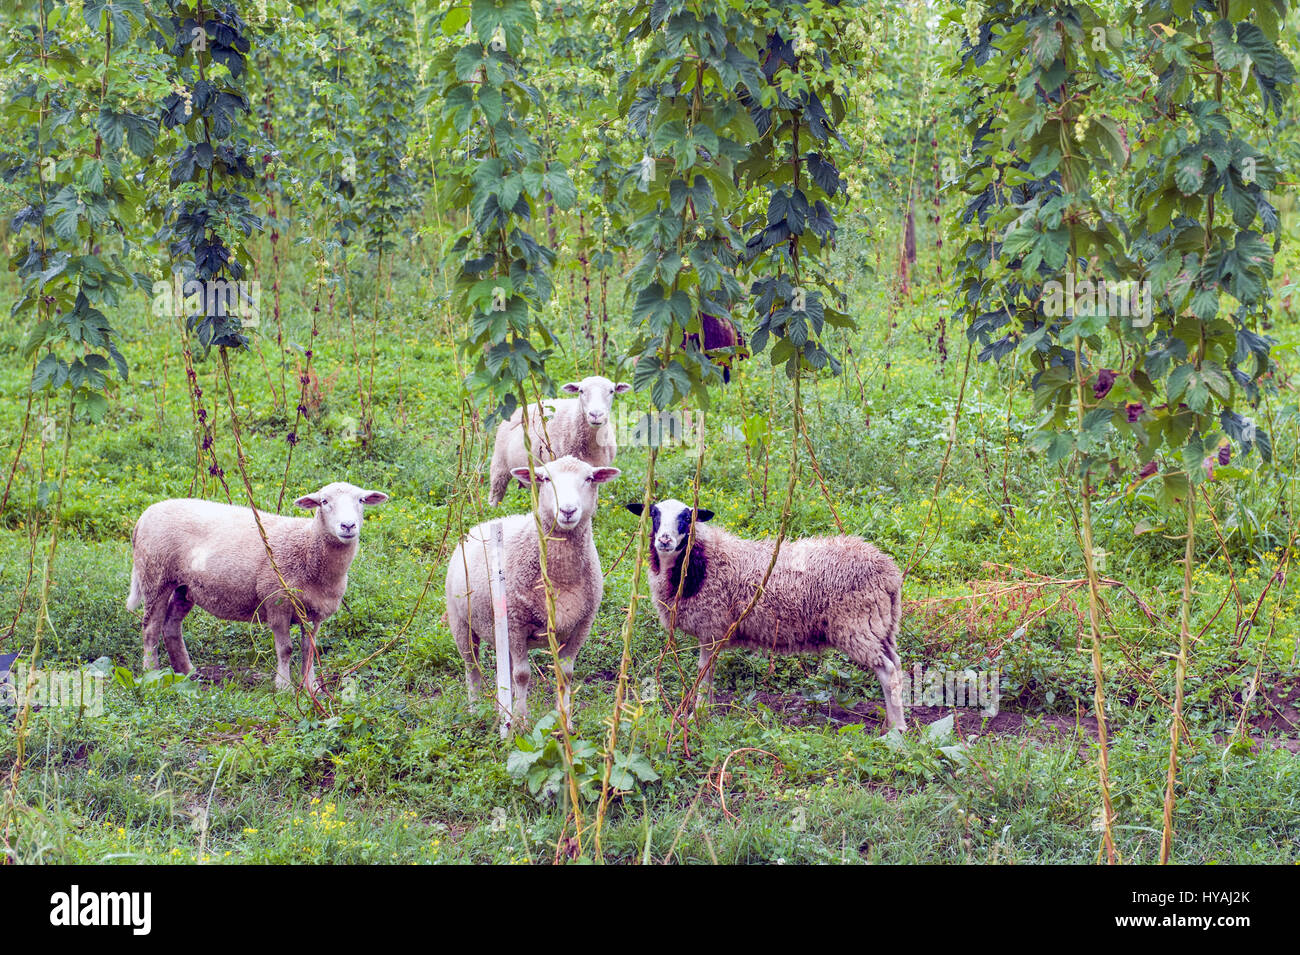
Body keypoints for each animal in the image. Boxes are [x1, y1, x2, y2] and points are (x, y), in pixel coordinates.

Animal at [126, 480, 390, 691]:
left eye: (361, 500)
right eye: (324, 501)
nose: (348, 526)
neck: (307, 547)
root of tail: (144, 515)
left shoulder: (315, 613)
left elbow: (309, 650)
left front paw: (310, 686)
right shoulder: (277, 603)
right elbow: (286, 649)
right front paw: (283, 686)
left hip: (184, 585)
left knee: (171, 625)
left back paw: (186, 671)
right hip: (155, 575)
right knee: (150, 628)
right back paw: (151, 673)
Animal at [449, 454, 621, 732]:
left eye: (589, 478)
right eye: (546, 479)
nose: (568, 511)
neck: (561, 577)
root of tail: (481, 526)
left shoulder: (582, 625)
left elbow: (566, 675)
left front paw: (565, 723)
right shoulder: (516, 624)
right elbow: (522, 675)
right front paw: (522, 721)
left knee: (503, 669)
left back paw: (502, 711)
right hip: (461, 622)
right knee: (472, 666)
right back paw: (475, 711)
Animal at [626, 501, 904, 732]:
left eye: (686, 517)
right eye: (654, 514)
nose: (664, 540)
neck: (702, 561)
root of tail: (888, 571)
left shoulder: (710, 626)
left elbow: (704, 672)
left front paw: (699, 713)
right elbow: (709, 672)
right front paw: (708, 710)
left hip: (857, 624)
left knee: (887, 671)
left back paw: (896, 729)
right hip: (881, 626)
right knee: (897, 665)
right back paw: (892, 721)